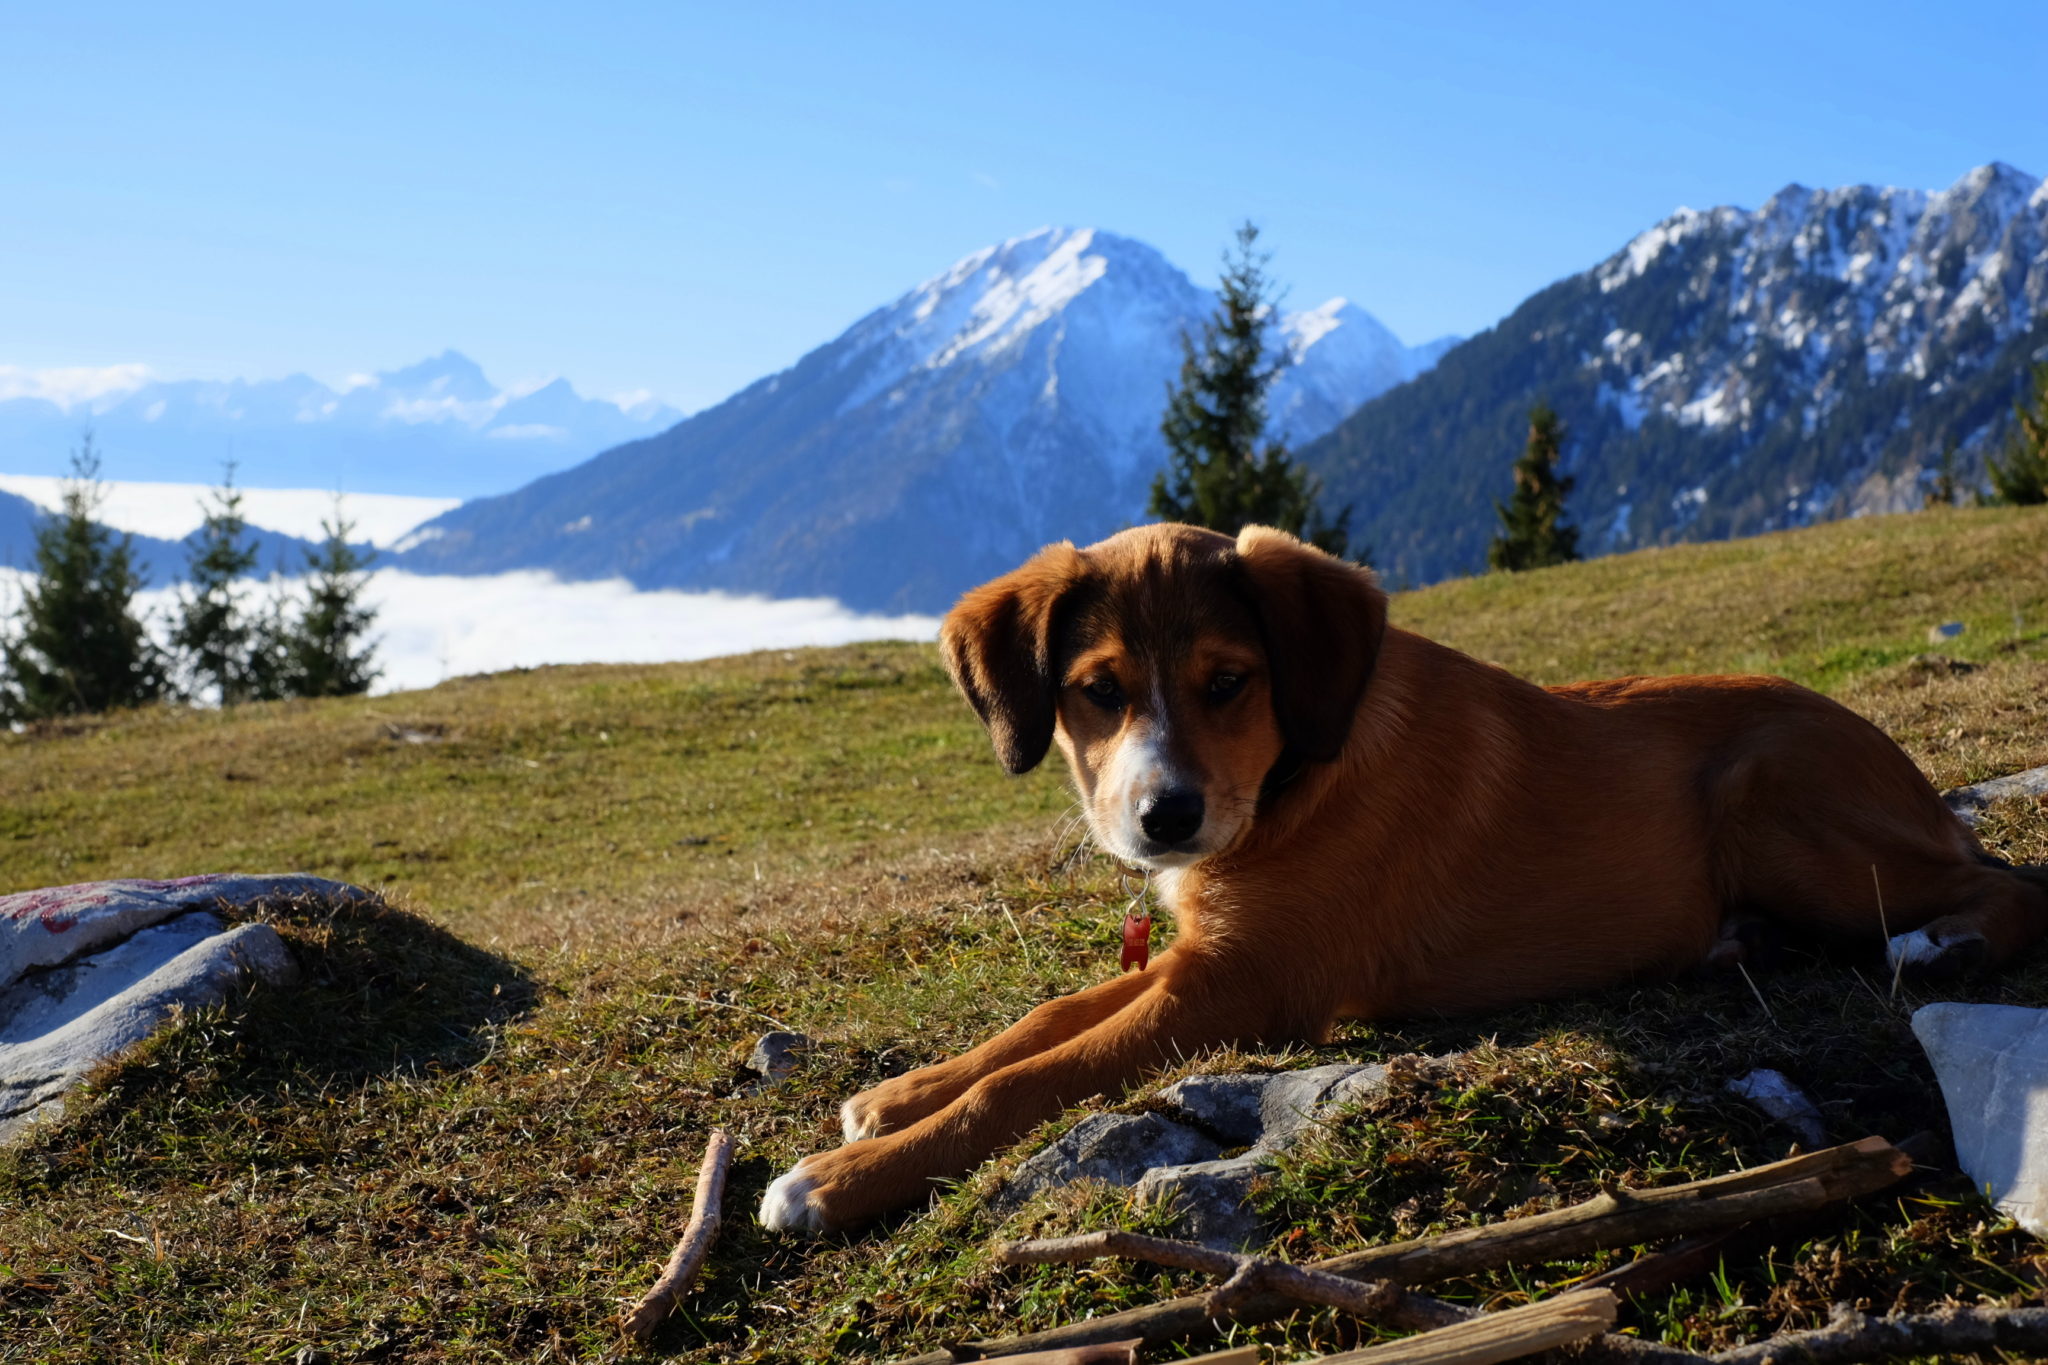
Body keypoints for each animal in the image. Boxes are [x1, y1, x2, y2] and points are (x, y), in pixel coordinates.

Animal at [761, 517, 2039, 1236]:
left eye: (1228, 681)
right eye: (1096, 691)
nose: (1163, 819)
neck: (1291, 783)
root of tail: (1904, 773)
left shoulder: (1241, 986)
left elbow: (1036, 1078)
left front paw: (837, 1177)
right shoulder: (1200, 957)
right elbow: (1047, 1018)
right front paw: (898, 1096)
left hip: (1767, 793)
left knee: (2003, 888)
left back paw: (1937, 945)